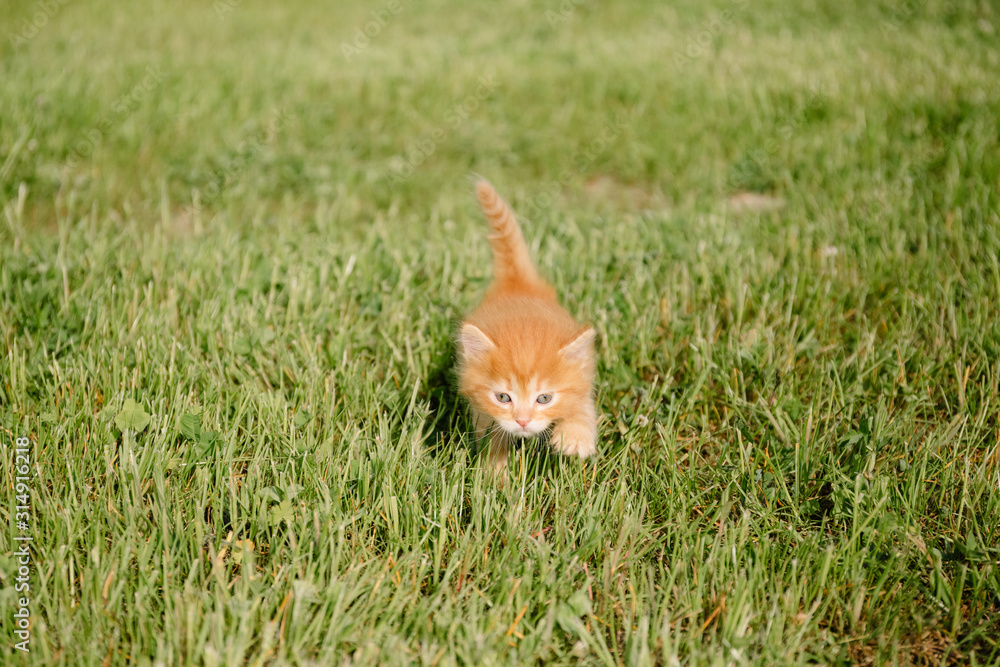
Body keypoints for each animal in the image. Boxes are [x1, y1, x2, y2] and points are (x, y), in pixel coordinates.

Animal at [458, 180, 596, 472]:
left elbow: (582, 405)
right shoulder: (482, 411)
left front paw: (575, 438)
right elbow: (491, 437)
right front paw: (495, 473)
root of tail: (517, 285)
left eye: (544, 398)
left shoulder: (583, 377)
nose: (522, 421)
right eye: (502, 398)